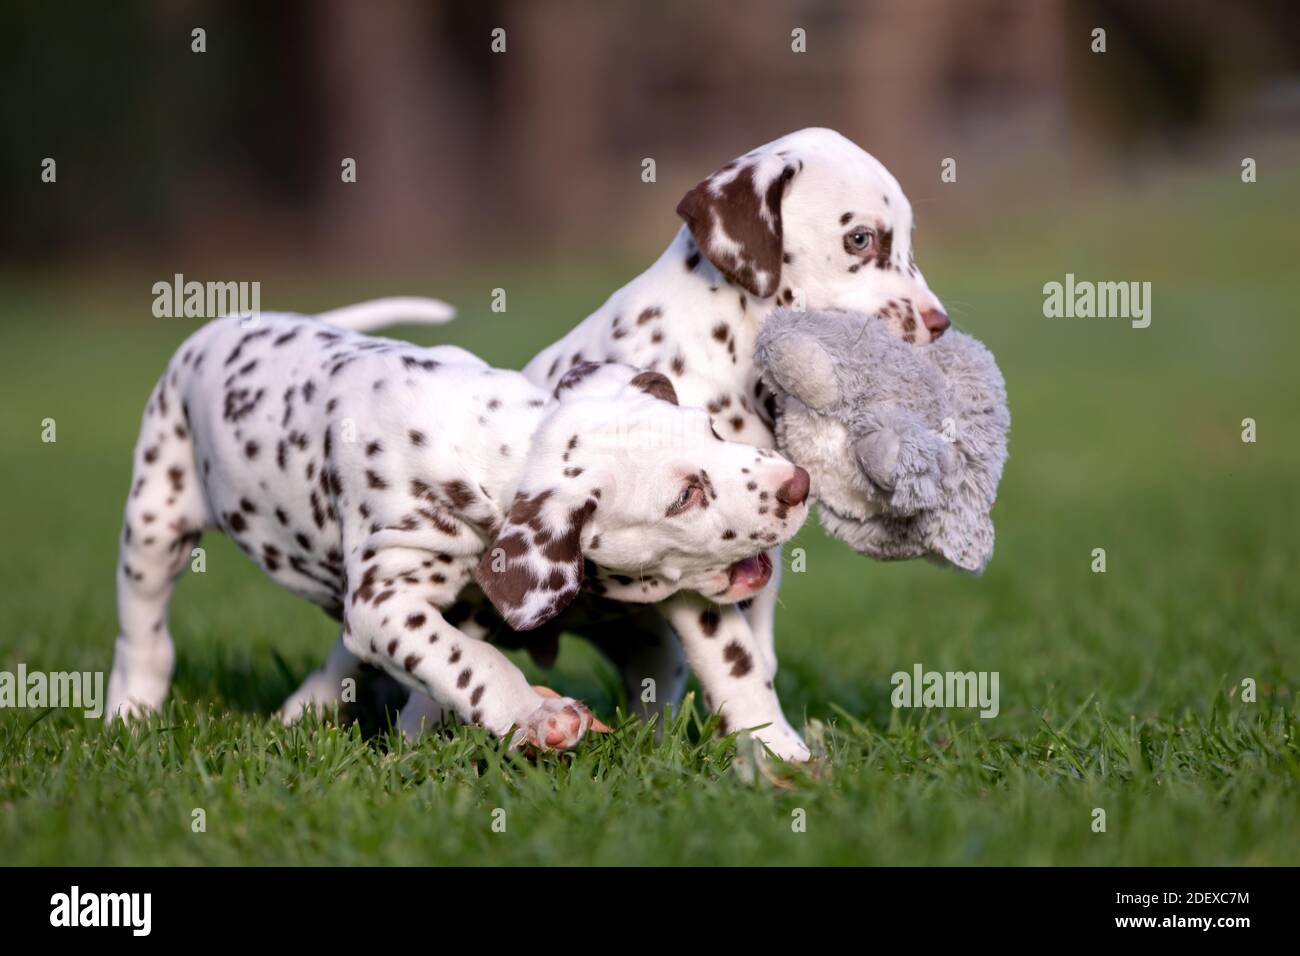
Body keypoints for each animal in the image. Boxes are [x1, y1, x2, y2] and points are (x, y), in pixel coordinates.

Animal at [109, 308, 811, 754]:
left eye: (712, 431)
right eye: (685, 495)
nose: (797, 483)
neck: (492, 443)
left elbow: (737, 666)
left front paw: (784, 758)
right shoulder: (383, 601)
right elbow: (469, 662)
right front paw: (535, 713)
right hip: (155, 521)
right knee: (144, 635)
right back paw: (129, 713)